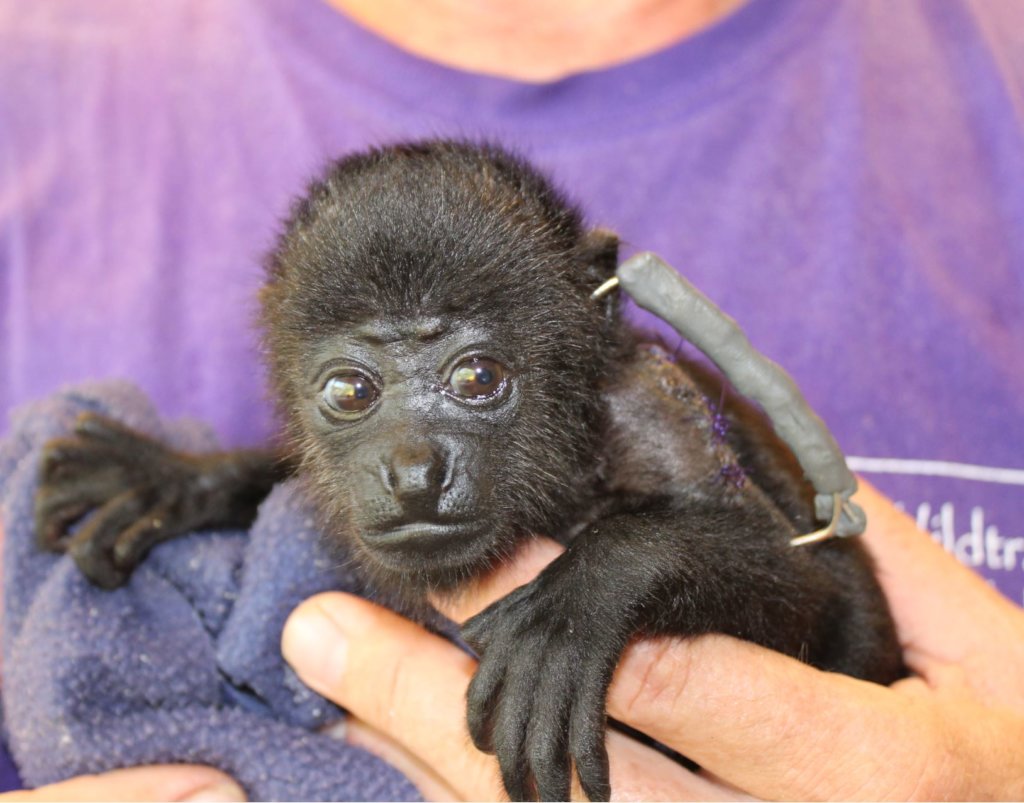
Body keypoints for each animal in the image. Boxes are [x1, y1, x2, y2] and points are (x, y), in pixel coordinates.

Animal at [34, 140, 904, 802]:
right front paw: (169, 477)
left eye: (478, 377)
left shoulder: (656, 410)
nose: (414, 470)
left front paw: (576, 608)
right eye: (350, 391)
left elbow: (825, 593)